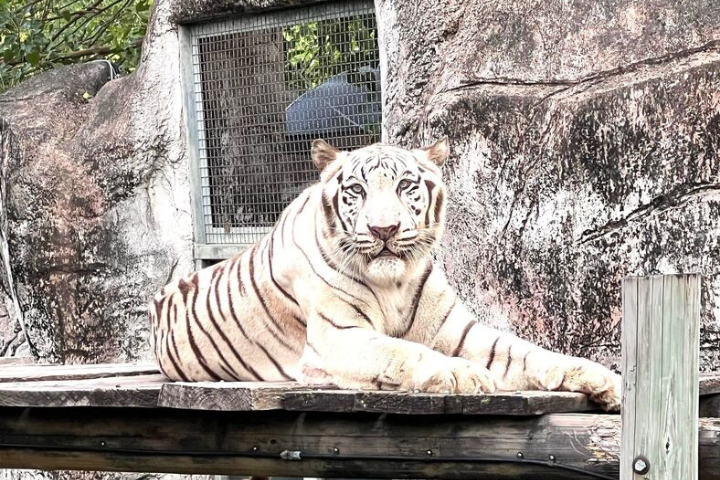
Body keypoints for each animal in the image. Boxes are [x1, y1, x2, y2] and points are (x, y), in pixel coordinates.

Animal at [148, 138, 621, 411]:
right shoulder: (337, 336)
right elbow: (403, 351)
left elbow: (526, 351)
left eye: (405, 186)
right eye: (356, 190)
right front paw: (463, 375)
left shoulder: (460, 332)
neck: (394, 281)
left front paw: (604, 378)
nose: (384, 230)